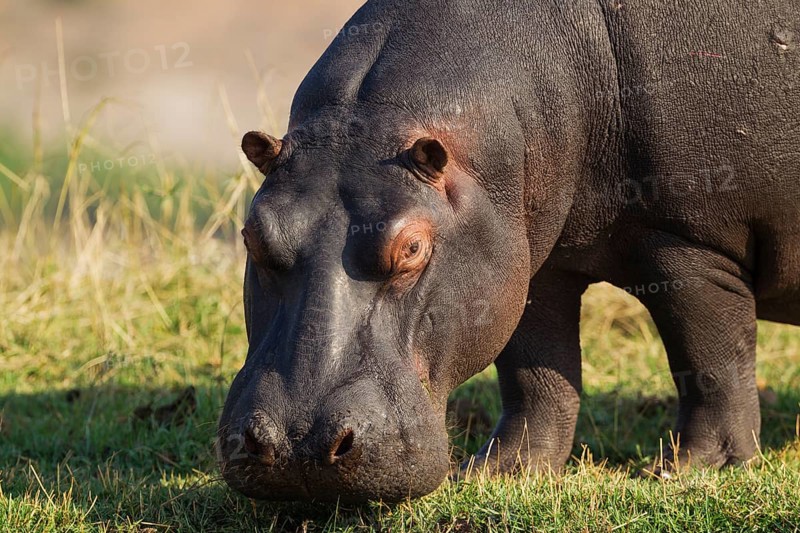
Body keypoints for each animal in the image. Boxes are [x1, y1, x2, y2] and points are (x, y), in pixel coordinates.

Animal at [217, 0, 800, 502]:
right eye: (251, 233)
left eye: (412, 247)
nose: (299, 446)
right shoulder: (525, 262)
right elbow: (534, 371)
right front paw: (504, 471)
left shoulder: (689, 243)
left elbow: (709, 361)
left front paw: (694, 470)